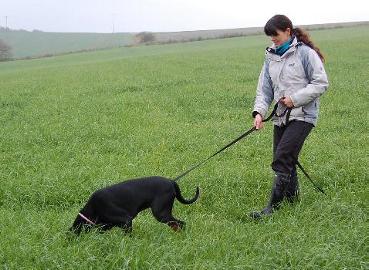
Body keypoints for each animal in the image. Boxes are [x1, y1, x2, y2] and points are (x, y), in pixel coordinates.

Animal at [70, 176, 200, 233]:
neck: (94, 207)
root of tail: (171, 181)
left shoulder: (126, 221)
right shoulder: (106, 225)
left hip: (160, 213)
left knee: (181, 224)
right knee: (176, 225)